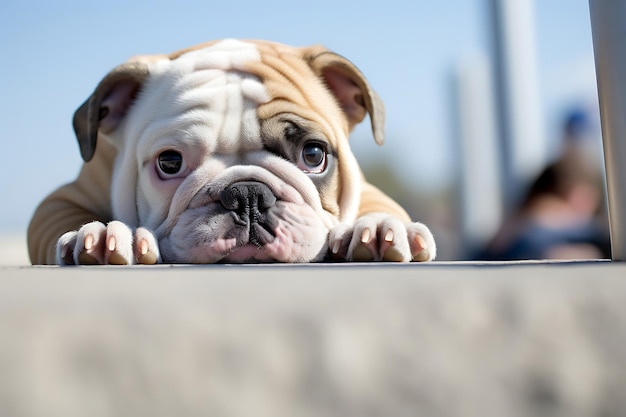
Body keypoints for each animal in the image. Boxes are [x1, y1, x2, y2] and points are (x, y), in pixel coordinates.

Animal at [28, 39, 434, 266]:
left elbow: (378, 207)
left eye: (313, 155)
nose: (248, 195)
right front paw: (103, 236)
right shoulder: (62, 201)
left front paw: (378, 229)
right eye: (169, 162)